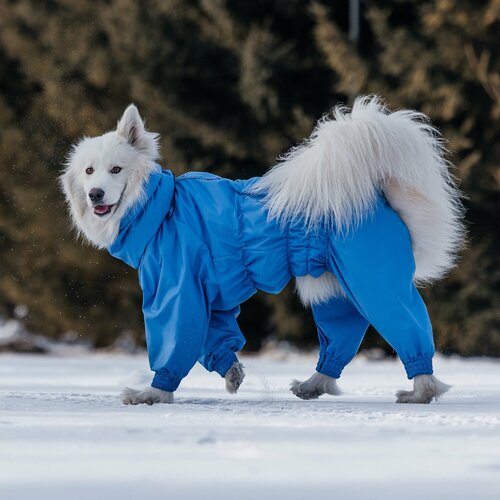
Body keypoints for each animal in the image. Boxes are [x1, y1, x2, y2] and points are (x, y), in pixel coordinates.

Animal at [61, 98, 464, 406]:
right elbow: (216, 339)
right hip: (335, 290)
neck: (159, 207)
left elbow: (174, 345)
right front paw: (233, 374)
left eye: (116, 170)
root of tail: (379, 195)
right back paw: (313, 385)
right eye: (89, 171)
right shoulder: (208, 297)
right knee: (340, 340)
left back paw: (421, 392)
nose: (95, 194)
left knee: (408, 329)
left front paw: (153, 394)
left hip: (374, 284)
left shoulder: (176, 292)